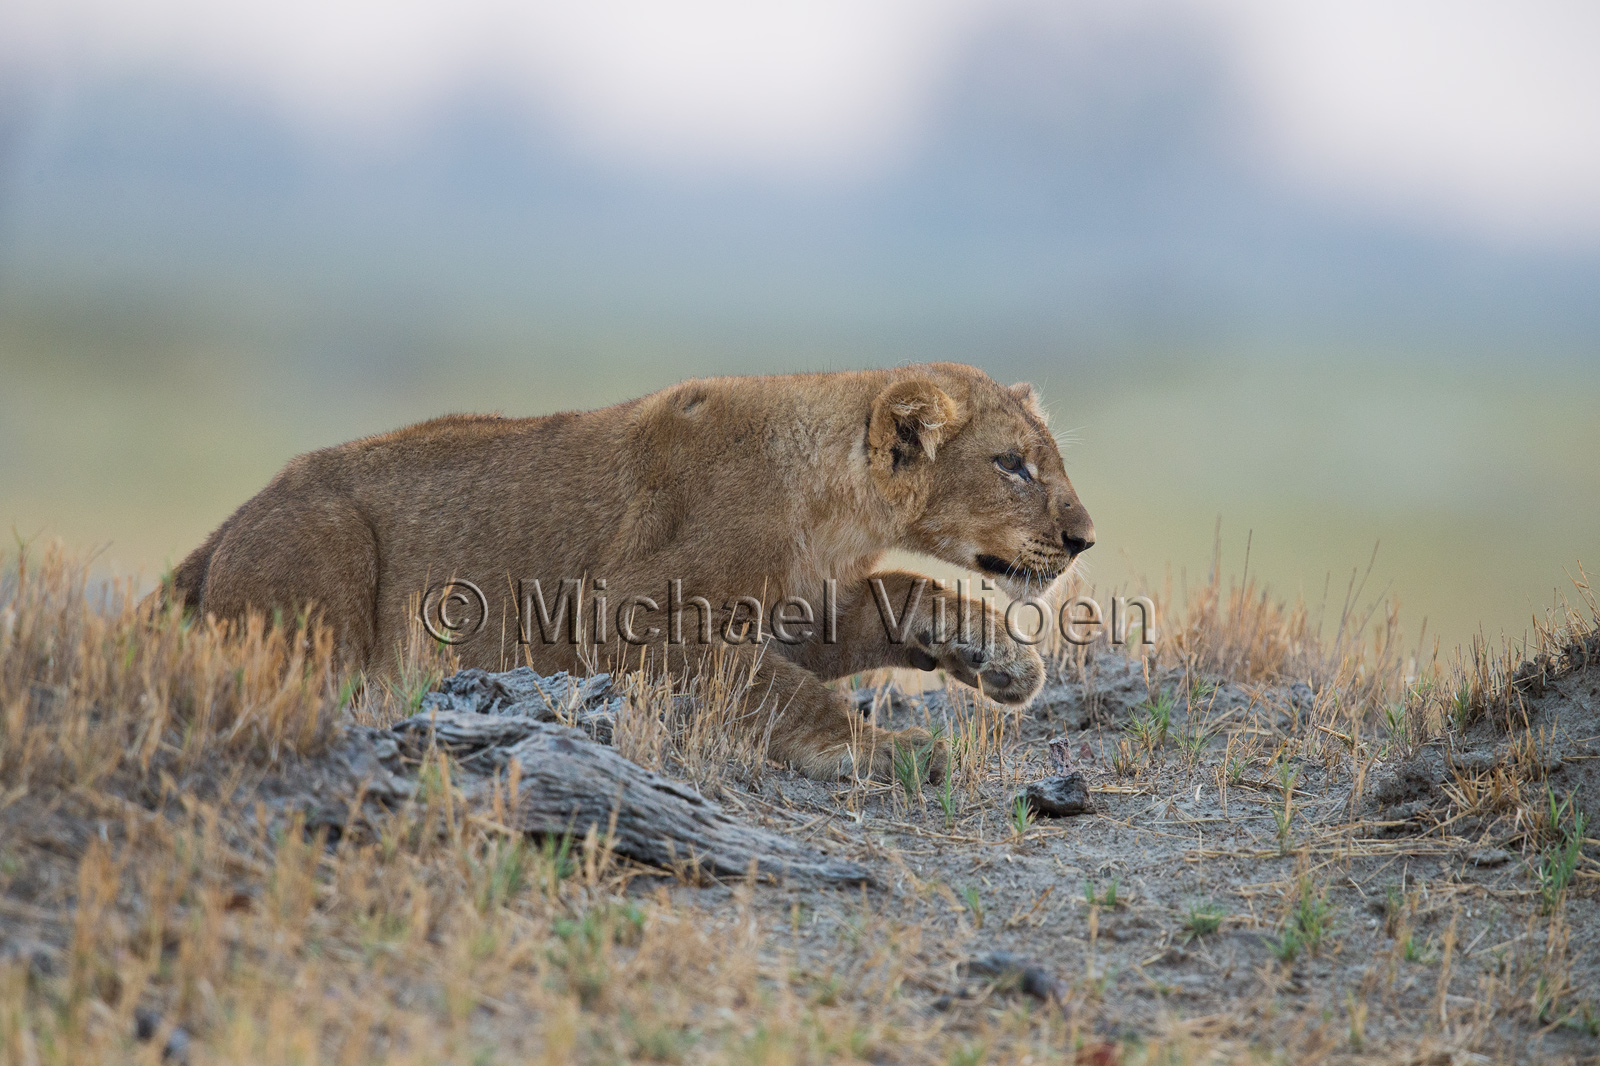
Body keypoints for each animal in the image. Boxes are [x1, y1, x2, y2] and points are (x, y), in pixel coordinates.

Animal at [150, 362, 1094, 781]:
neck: (835, 509)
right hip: (325, 548)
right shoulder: (620, 617)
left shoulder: (807, 605)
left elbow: (906, 592)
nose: (1084, 537)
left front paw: (1001, 660)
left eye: (1046, 459)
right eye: (1013, 465)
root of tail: (230, 521)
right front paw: (877, 749)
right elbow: (769, 686)